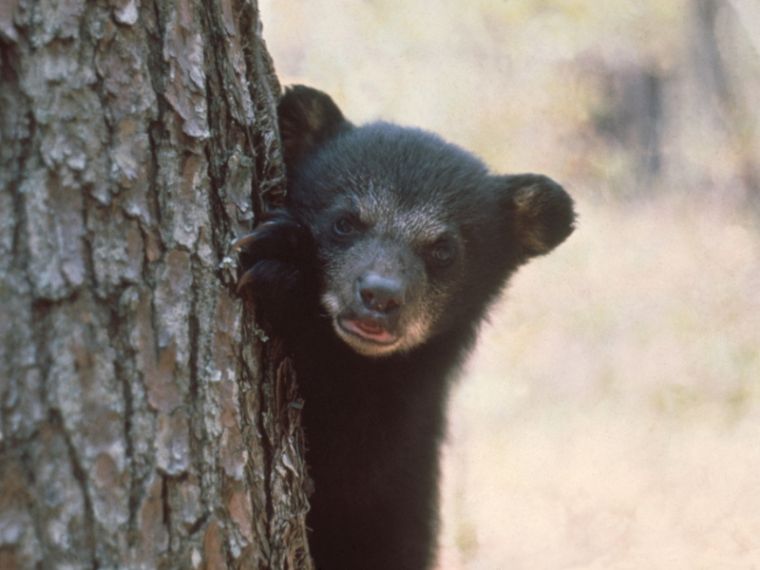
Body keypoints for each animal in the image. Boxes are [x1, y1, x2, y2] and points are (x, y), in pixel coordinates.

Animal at [236, 85, 575, 570]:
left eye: (444, 250)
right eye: (344, 222)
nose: (380, 296)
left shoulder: (402, 433)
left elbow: (350, 464)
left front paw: (284, 271)